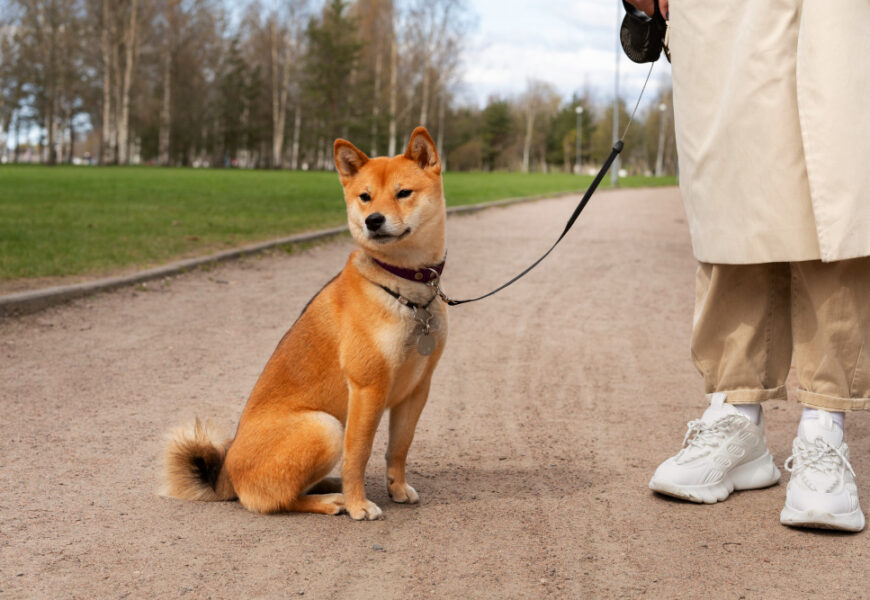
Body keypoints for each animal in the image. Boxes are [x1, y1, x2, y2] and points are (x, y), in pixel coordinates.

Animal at [162, 127, 450, 520]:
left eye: (403, 192)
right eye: (365, 197)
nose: (372, 220)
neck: (404, 288)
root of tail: (227, 476)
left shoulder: (417, 388)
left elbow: (399, 447)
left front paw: (397, 488)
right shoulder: (367, 388)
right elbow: (358, 455)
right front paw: (359, 503)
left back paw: (329, 485)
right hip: (325, 426)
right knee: (277, 499)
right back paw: (333, 499)